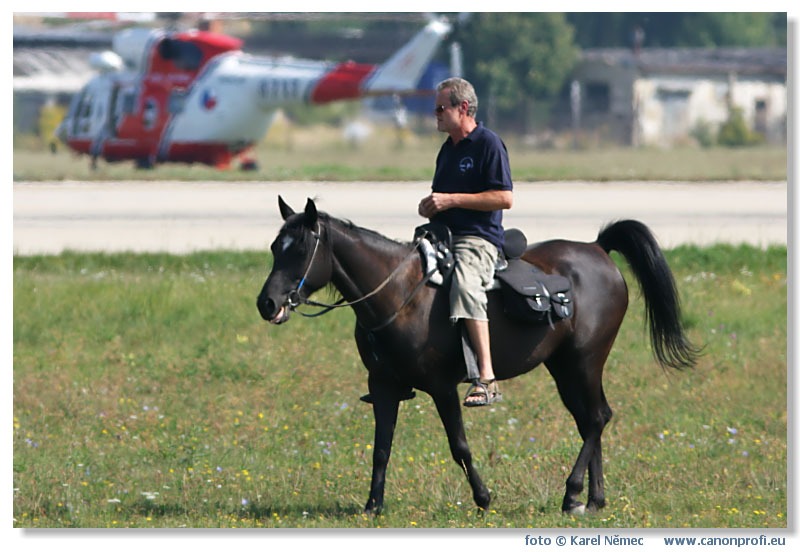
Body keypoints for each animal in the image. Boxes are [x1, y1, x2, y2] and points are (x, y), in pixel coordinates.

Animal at [256, 196, 692, 516]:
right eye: (275, 247)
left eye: (302, 249)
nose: (267, 303)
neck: (400, 295)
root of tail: (599, 250)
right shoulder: (383, 387)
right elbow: (381, 447)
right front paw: (373, 505)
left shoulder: (442, 387)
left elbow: (459, 446)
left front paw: (483, 497)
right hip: (565, 367)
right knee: (590, 420)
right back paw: (593, 500)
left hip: (584, 361)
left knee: (598, 418)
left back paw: (571, 494)